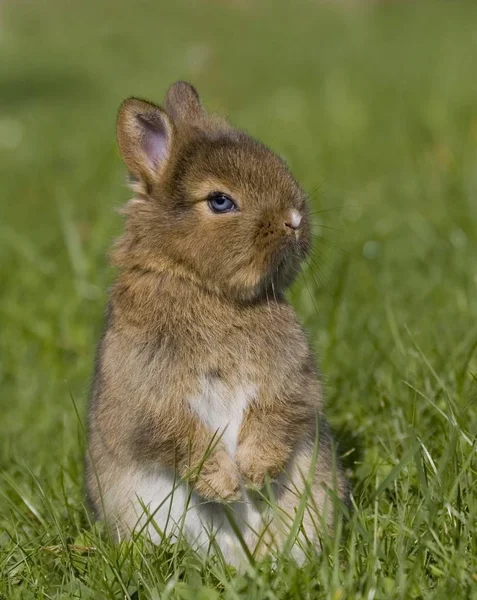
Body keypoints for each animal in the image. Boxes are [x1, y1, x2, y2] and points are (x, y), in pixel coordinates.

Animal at [86, 81, 346, 568]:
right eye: (220, 201)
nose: (295, 220)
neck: (200, 284)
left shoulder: (289, 381)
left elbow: (278, 414)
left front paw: (254, 473)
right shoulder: (149, 395)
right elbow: (182, 435)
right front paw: (226, 485)